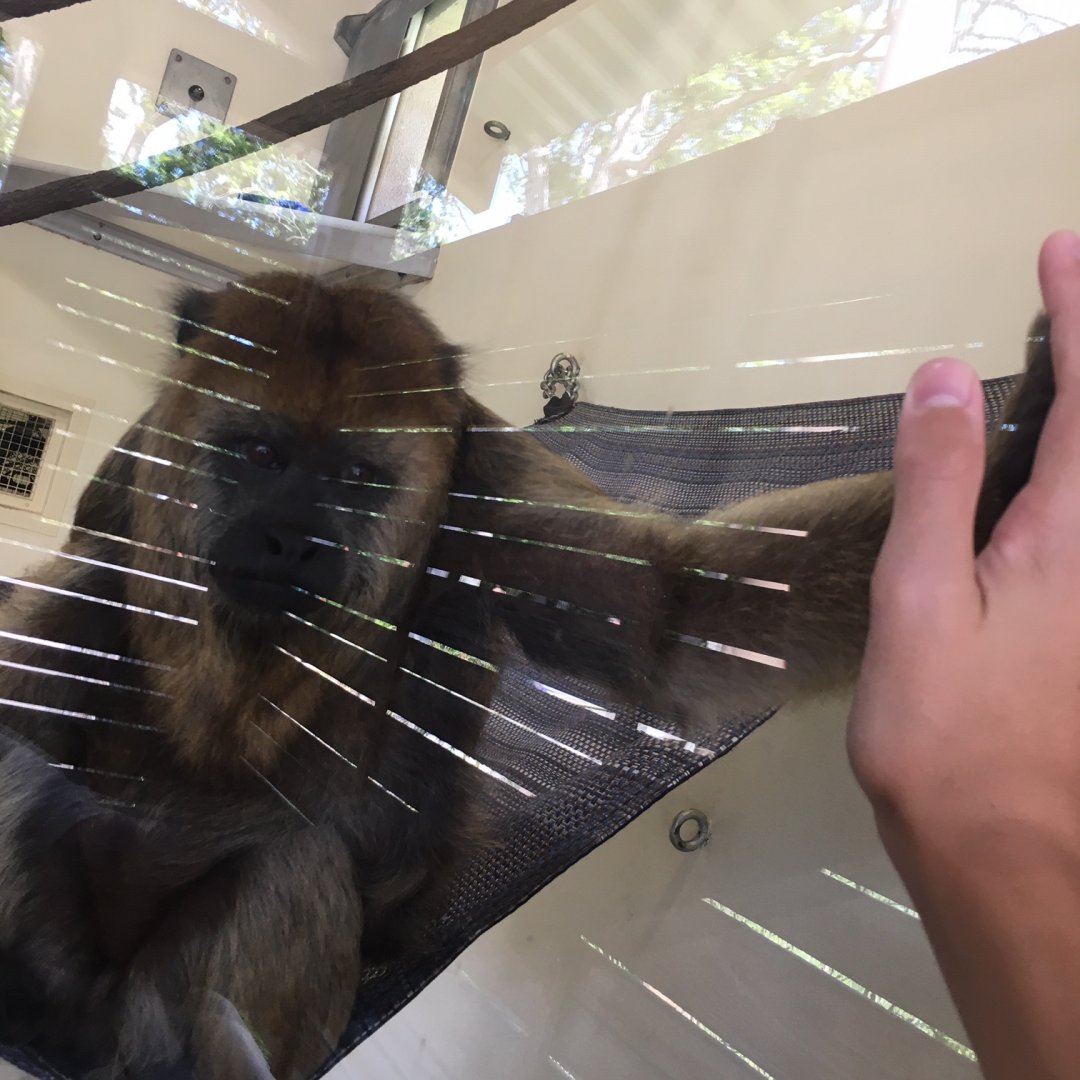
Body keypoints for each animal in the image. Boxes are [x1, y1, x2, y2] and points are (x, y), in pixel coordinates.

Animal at [0, 275, 1055, 1079]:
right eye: (257, 453)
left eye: (355, 480)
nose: (290, 539)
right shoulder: (133, 458)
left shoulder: (489, 482)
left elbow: (676, 606)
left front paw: (1023, 451)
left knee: (288, 864)